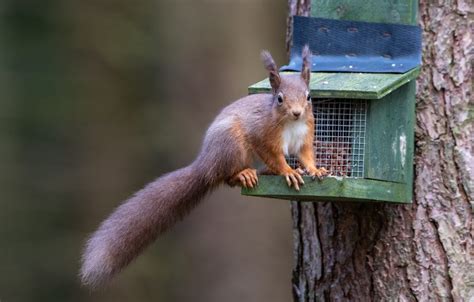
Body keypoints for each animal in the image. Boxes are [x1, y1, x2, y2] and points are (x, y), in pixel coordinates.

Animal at [79, 45, 328, 288]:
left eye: (308, 97)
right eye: (279, 99)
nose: (296, 113)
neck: (292, 124)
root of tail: (205, 165)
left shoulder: (304, 138)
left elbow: (306, 156)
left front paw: (315, 170)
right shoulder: (262, 135)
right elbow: (274, 156)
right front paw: (288, 171)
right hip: (231, 144)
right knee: (227, 177)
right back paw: (245, 174)